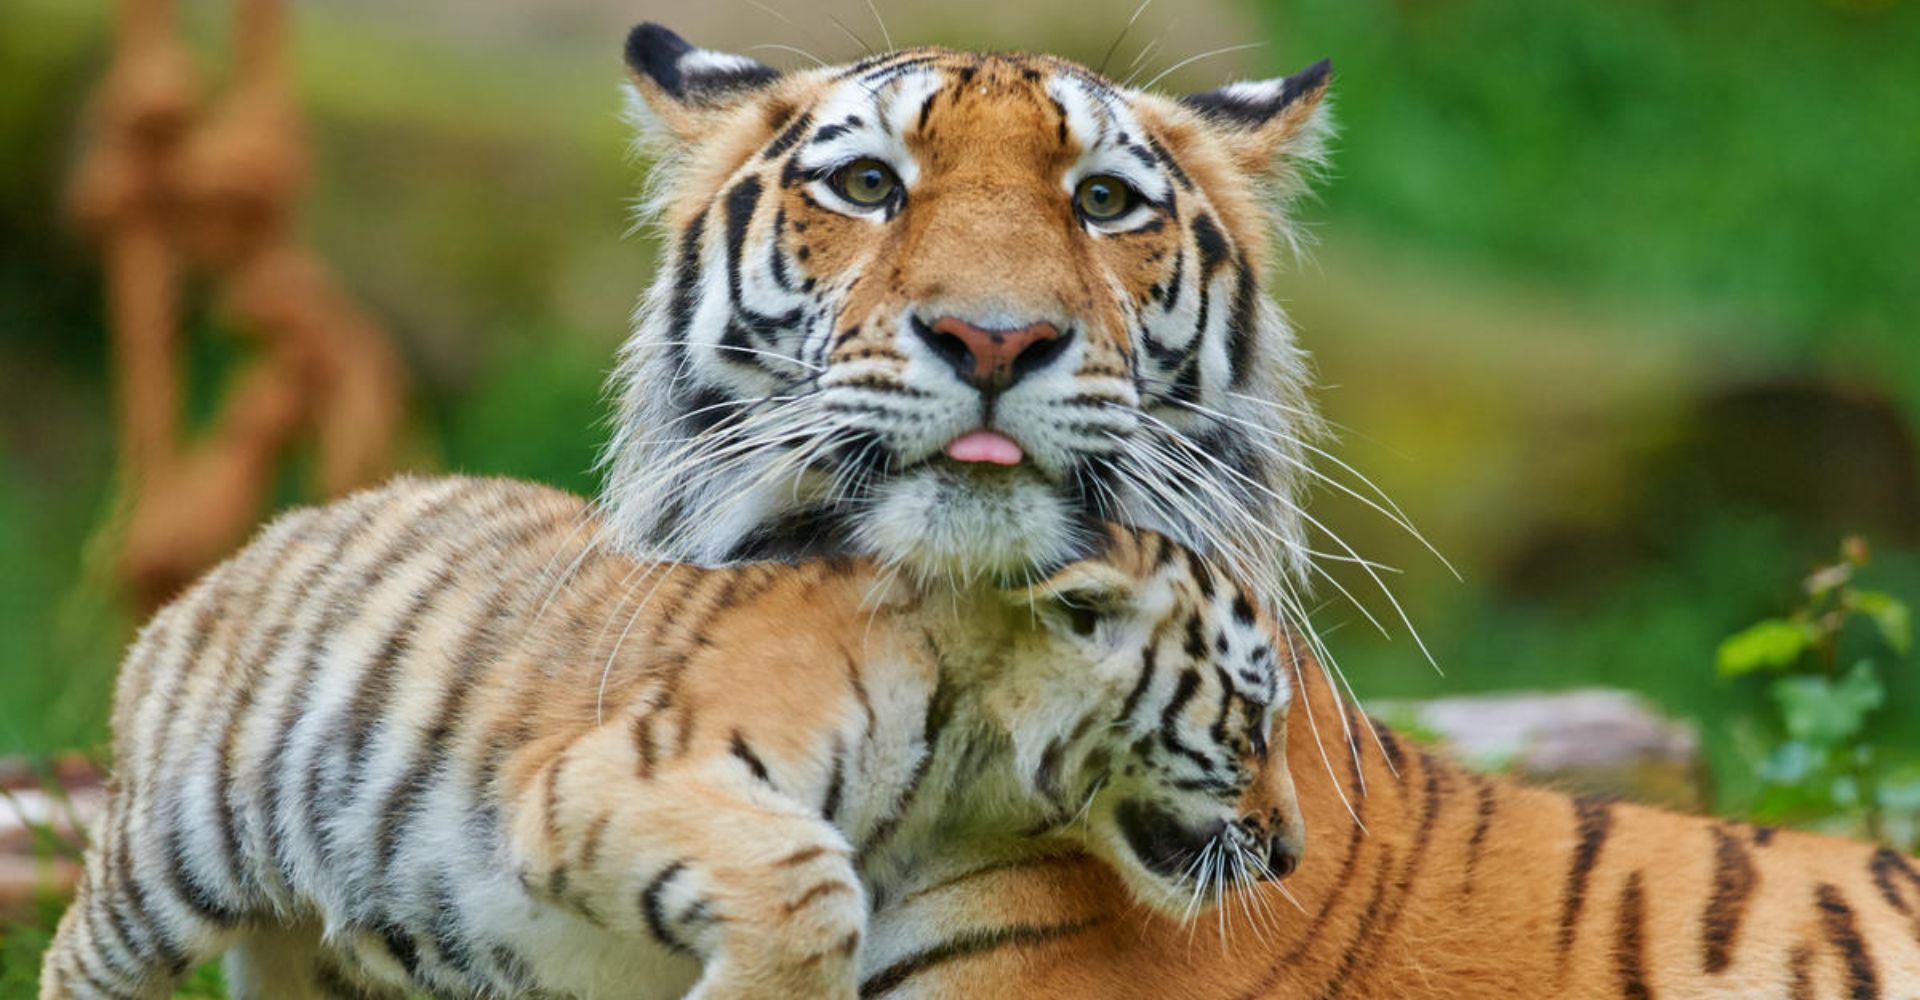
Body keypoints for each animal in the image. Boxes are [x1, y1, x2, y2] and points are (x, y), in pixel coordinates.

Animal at [38, 476, 1306, 999]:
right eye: (1254, 723)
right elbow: (811, 885)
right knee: (76, 958)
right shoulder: (615, 775)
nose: (1291, 848)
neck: (965, 765)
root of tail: (248, 548)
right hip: (170, 857)